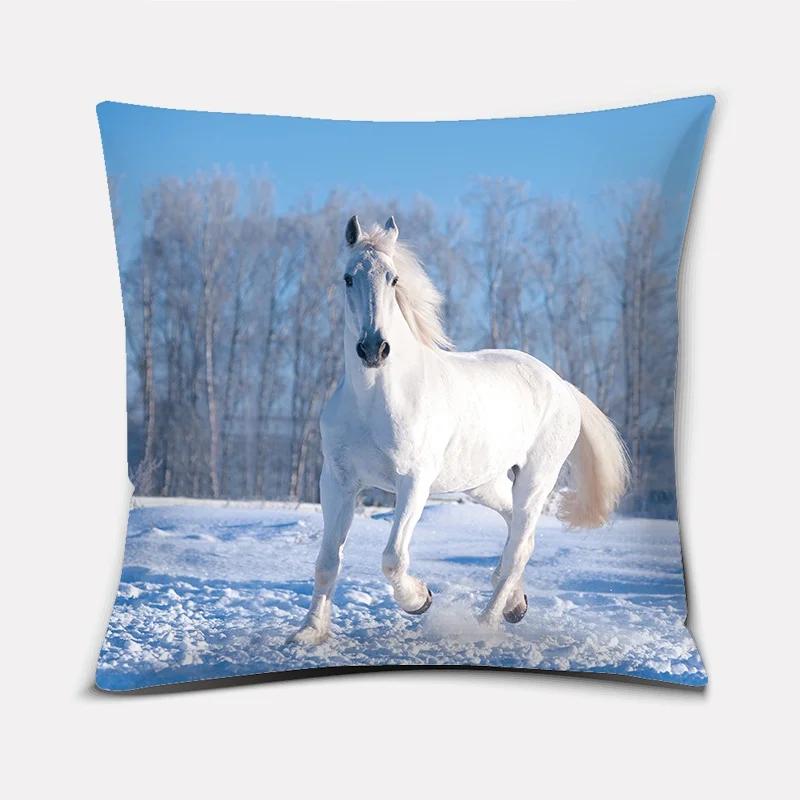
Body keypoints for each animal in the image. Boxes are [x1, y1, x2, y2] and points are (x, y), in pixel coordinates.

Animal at [289, 215, 629, 645]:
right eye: (348, 278)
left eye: (393, 279)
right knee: (515, 530)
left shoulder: (413, 482)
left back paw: (486, 623)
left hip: (536, 479)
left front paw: (420, 600)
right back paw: (515, 605)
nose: (372, 349)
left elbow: (392, 558)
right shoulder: (338, 482)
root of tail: (563, 386)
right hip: (483, 483)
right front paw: (308, 632)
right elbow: (327, 561)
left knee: (520, 547)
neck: (373, 399)